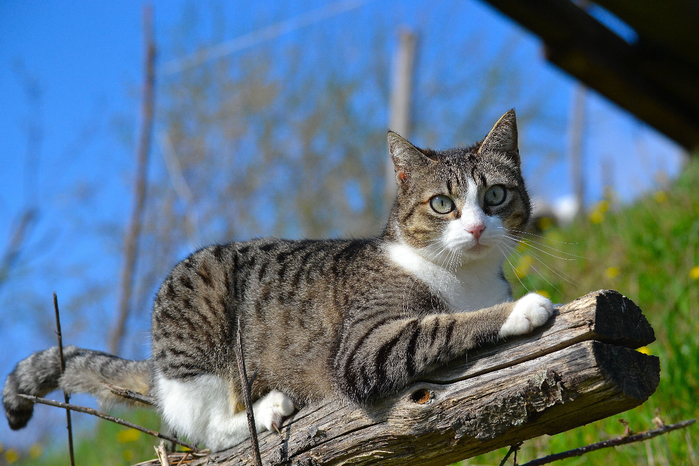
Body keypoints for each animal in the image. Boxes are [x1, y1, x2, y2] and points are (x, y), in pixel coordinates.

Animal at [2, 109, 556, 452]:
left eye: (496, 196)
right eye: (443, 204)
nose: (477, 227)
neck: (467, 278)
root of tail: (157, 367)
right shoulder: (363, 346)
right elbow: (444, 324)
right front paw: (524, 309)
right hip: (198, 326)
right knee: (201, 423)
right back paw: (268, 407)